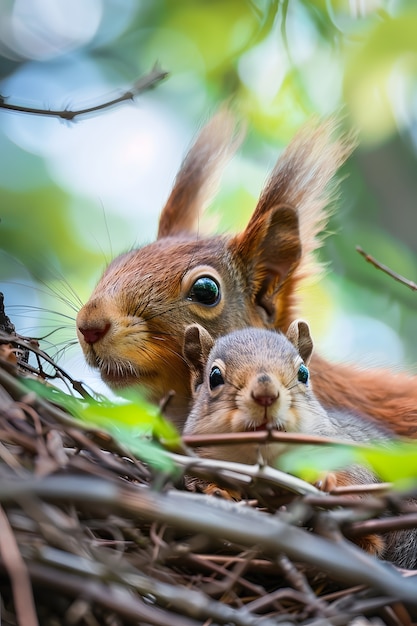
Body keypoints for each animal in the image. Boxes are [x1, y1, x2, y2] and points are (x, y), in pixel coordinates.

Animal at [184, 320, 416, 568]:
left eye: (303, 373)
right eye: (214, 376)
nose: (266, 394)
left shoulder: (343, 448)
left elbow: (357, 480)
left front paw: (322, 480)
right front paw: (216, 489)